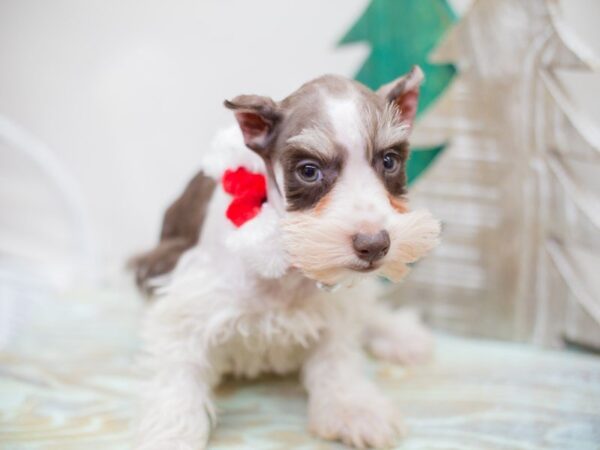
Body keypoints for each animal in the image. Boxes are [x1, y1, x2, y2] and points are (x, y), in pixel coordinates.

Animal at [135, 67, 440, 450]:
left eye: (389, 161)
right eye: (309, 171)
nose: (374, 244)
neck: (287, 268)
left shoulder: (335, 311)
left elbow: (337, 359)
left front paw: (353, 406)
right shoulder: (184, 310)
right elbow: (178, 375)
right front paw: (172, 430)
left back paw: (399, 334)